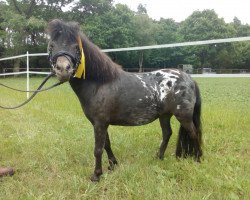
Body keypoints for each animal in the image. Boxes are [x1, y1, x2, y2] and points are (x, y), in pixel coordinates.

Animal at [47, 19, 203, 181]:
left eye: (76, 47)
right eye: (51, 46)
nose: (63, 69)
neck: (100, 84)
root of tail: (189, 79)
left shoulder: (100, 123)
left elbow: (98, 149)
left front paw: (96, 175)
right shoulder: (101, 123)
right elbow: (107, 145)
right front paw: (112, 165)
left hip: (183, 116)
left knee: (194, 133)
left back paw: (198, 160)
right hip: (164, 115)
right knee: (167, 133)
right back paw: (158, 157)